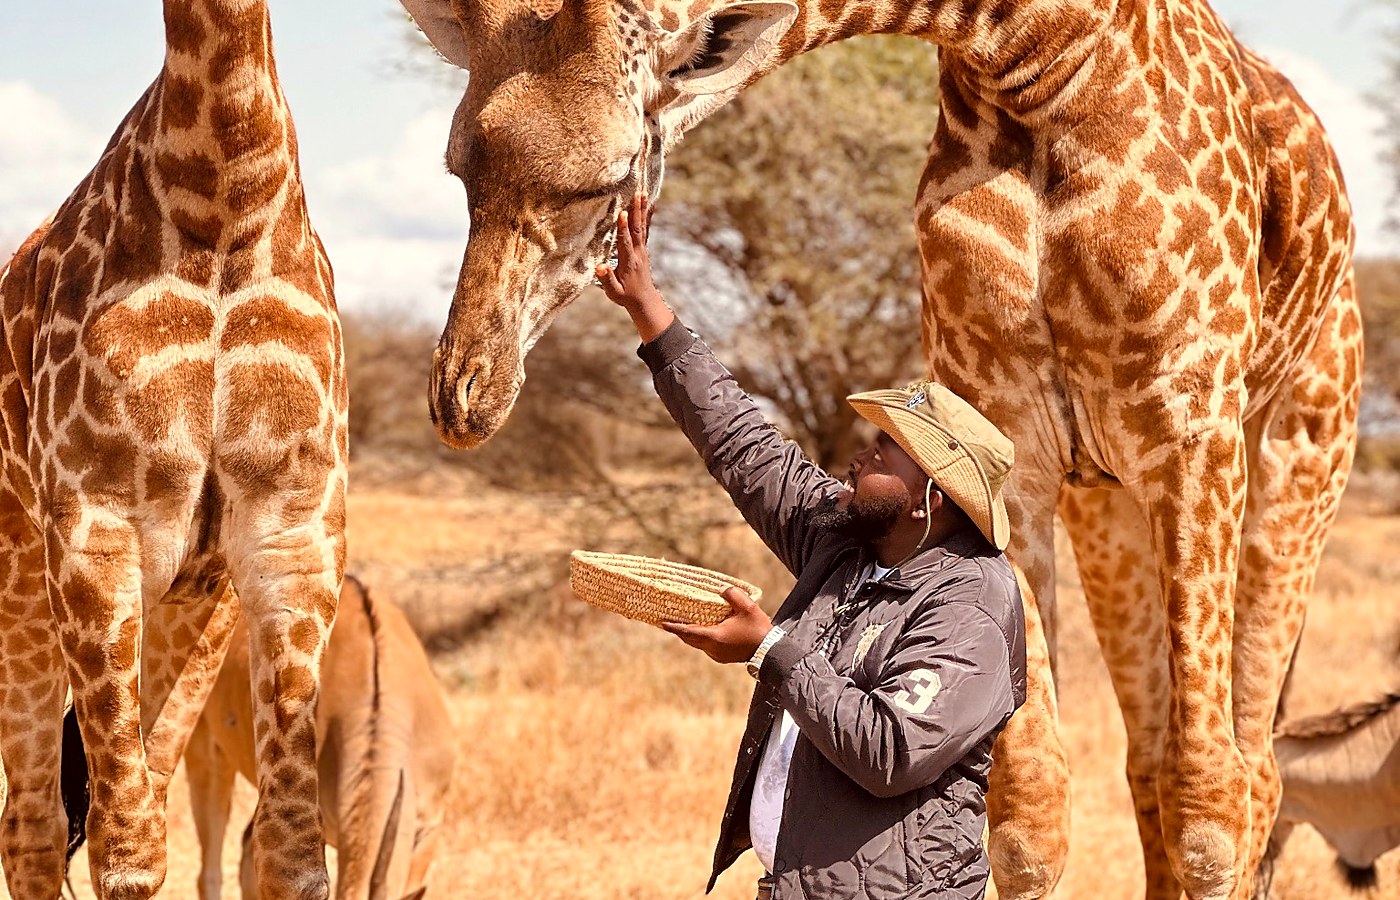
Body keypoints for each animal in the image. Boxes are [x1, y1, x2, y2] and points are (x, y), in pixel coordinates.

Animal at [0, 0, 348, 897]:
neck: (226, 198)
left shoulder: (291, 531)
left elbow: (292, 854)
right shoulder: (94, 528)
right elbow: (126, 855)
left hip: (178, 609)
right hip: (20, 587)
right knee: (34, 825)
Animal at [398, 0, 1360, 898]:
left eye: (603, 180)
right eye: (456, 165)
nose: (463, 396)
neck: (1035, 62)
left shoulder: (1190, 419)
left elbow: (1211, 813)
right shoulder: (1014, 435)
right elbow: (1030, 814)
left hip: (1297, 450)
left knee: (1252, 770)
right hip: (1110, 506)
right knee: (1150, 758)